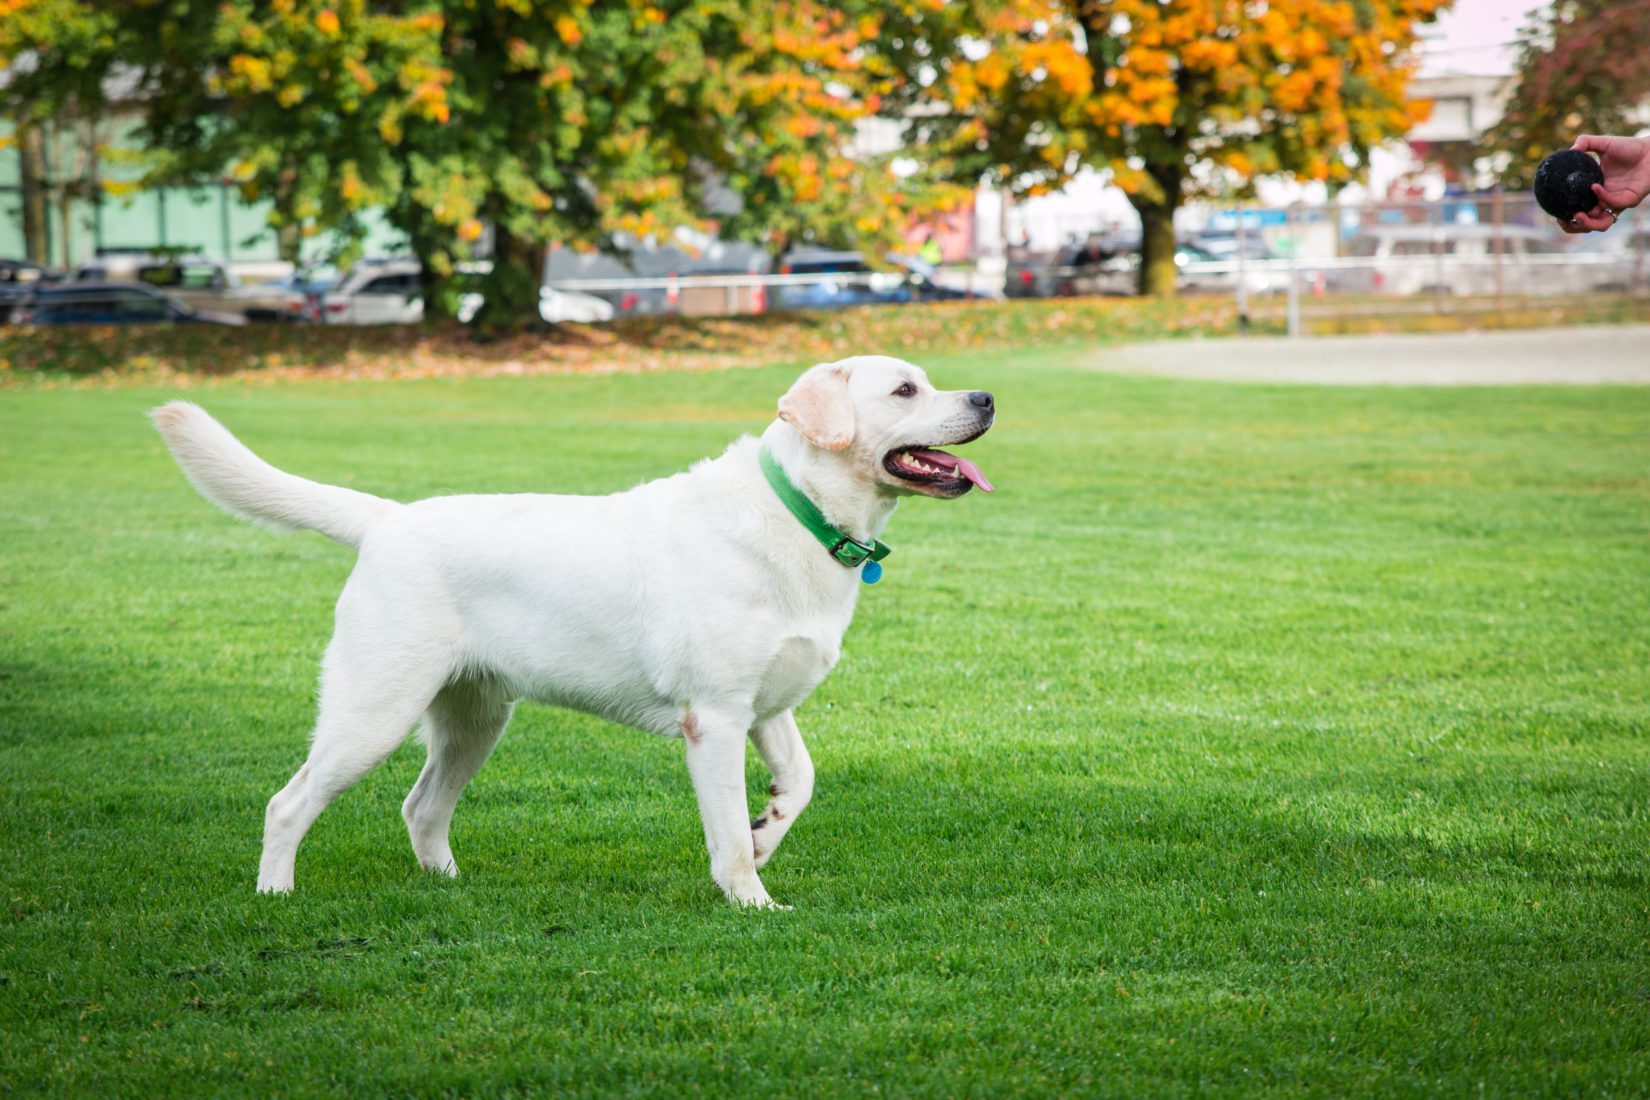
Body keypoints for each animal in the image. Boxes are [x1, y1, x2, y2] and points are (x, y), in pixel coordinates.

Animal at [155, 357, 996, 910]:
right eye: (905, 389)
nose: (987, 397)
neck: (802, 514)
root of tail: (386, 520)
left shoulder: (768, 708)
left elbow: (802, 781)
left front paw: (767, 833)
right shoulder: (716, 719)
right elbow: (724, 831)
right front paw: (752, 900)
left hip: (475, 721)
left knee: (420, 808)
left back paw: (451, 887)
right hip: (373, 712)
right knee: (288, 803)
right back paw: (276, 896)